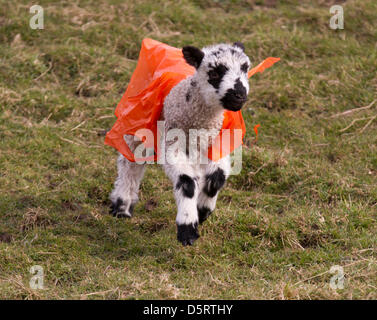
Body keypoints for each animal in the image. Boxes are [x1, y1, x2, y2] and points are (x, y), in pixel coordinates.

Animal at [108, 41, 251, 246]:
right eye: (215, 73)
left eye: (245, 69)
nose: (239, 95)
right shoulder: (172, 143)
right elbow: (187, 182)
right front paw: (187, 228)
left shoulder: (217, 142)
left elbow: (216, 178)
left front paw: (202, 210)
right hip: (137, 119)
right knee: (130, 164)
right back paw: (122, 206)